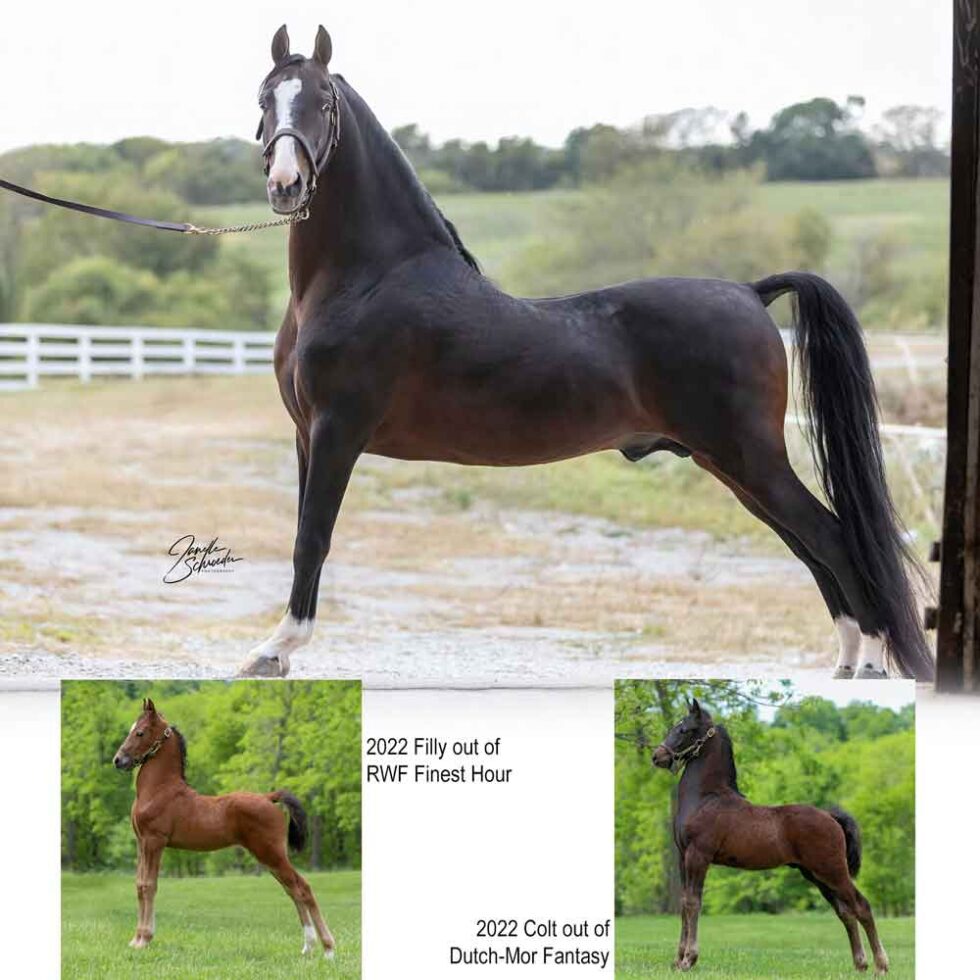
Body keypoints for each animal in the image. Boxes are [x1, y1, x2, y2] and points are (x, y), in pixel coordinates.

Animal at [112, 698, 335, 957]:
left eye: (140, 732)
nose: (118, 760)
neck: (160, 790)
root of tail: (269, 797)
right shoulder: (141, 842)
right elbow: (139, 885)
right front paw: (136, 939)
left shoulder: (154, 841)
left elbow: (149, 885)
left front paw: (144, 939)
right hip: (270, 857)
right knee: (293, 890)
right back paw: (308, 947)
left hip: (271, 853)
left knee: (303, 888)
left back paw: (328, 949)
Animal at [238, 23, 933, 682]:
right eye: (265, 98)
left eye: (322, 101)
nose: (285, 183)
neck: (368, 278)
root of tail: (750, 292)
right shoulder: (307, 435)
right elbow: (305, 533)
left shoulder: (338, 430)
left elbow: (312, 539)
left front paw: (273, 652)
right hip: (731, 464)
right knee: (806, 545)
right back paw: (847, 658)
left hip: (750, 456)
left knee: (831, 537)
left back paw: (873, 659)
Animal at [651, 698, 889, 973]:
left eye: (685, 729)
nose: (657, 756)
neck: (706, 798)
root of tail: (831, 817)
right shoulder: (683, 856)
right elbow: (683, 902)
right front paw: (678, 960)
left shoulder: (698, 856)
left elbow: (693, 902)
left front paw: (689, 959)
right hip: (817, 875)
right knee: (846, 912)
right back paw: (860, 964)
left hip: (833, 871)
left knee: (861, 906)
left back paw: (881, 965)